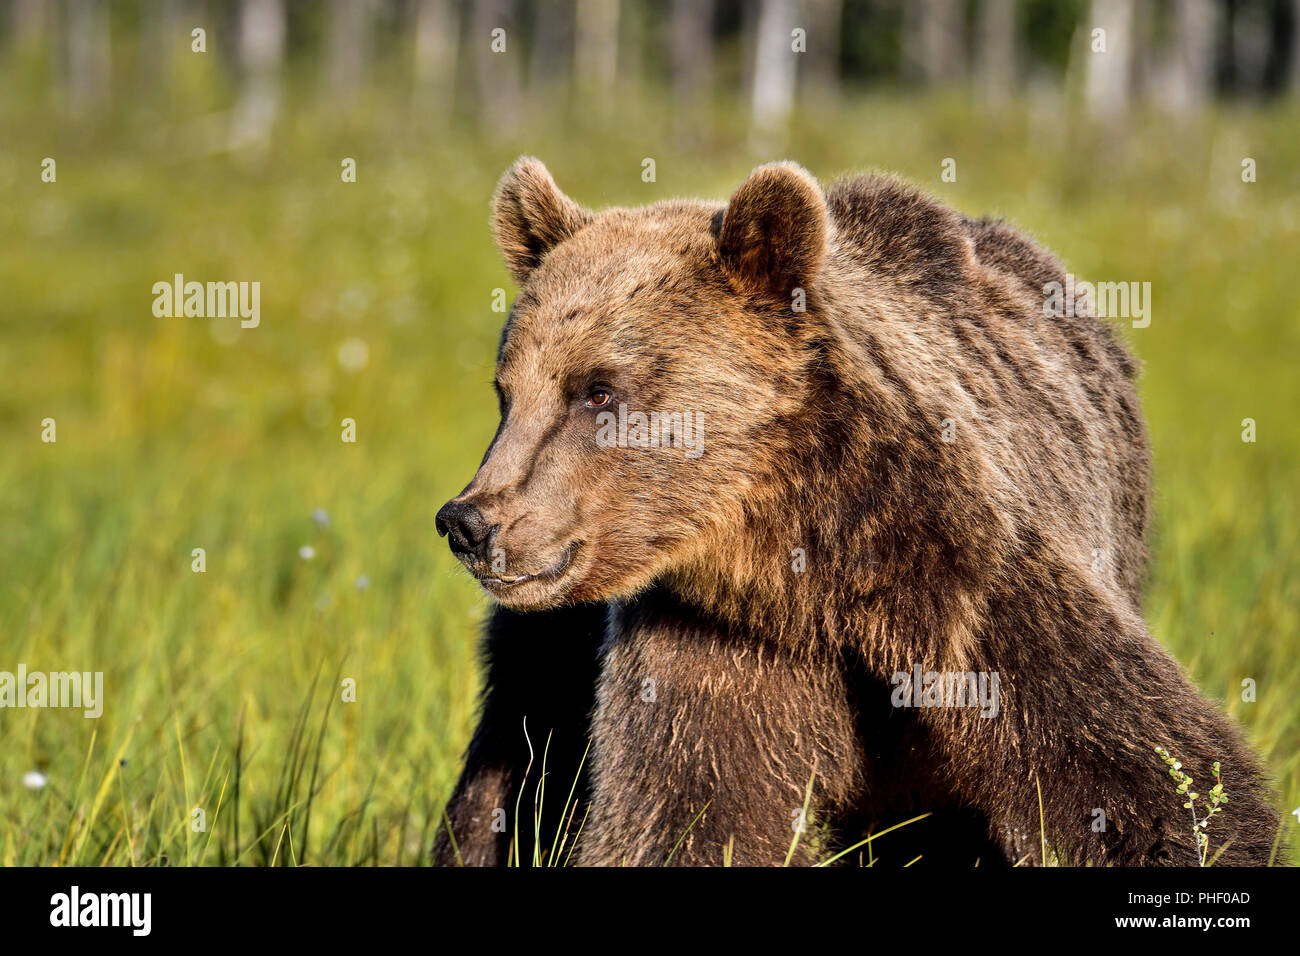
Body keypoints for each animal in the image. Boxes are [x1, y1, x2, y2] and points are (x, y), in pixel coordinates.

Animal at [428, 157, 1279, 868]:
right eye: (507, 391)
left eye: (598, 390)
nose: (469, 522)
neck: (814, 565)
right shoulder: (723, 639)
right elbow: (696, 813)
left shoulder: (979, 593)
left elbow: (1149, 780)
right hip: (554, 640)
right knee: (516, 749)